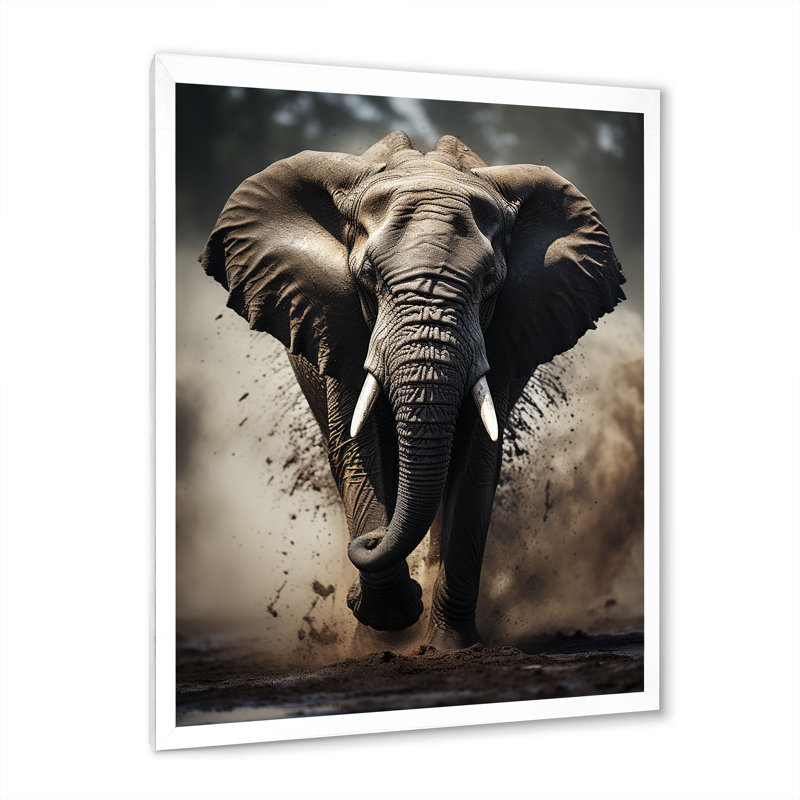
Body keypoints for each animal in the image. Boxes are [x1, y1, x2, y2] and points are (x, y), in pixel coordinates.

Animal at [200, 130, 625, 651]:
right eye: (367, 278)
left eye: (490, 283)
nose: (364, 548)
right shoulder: (338, 323)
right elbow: (359, 450)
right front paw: (385, 621)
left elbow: (477, 462)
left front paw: (450, 648)